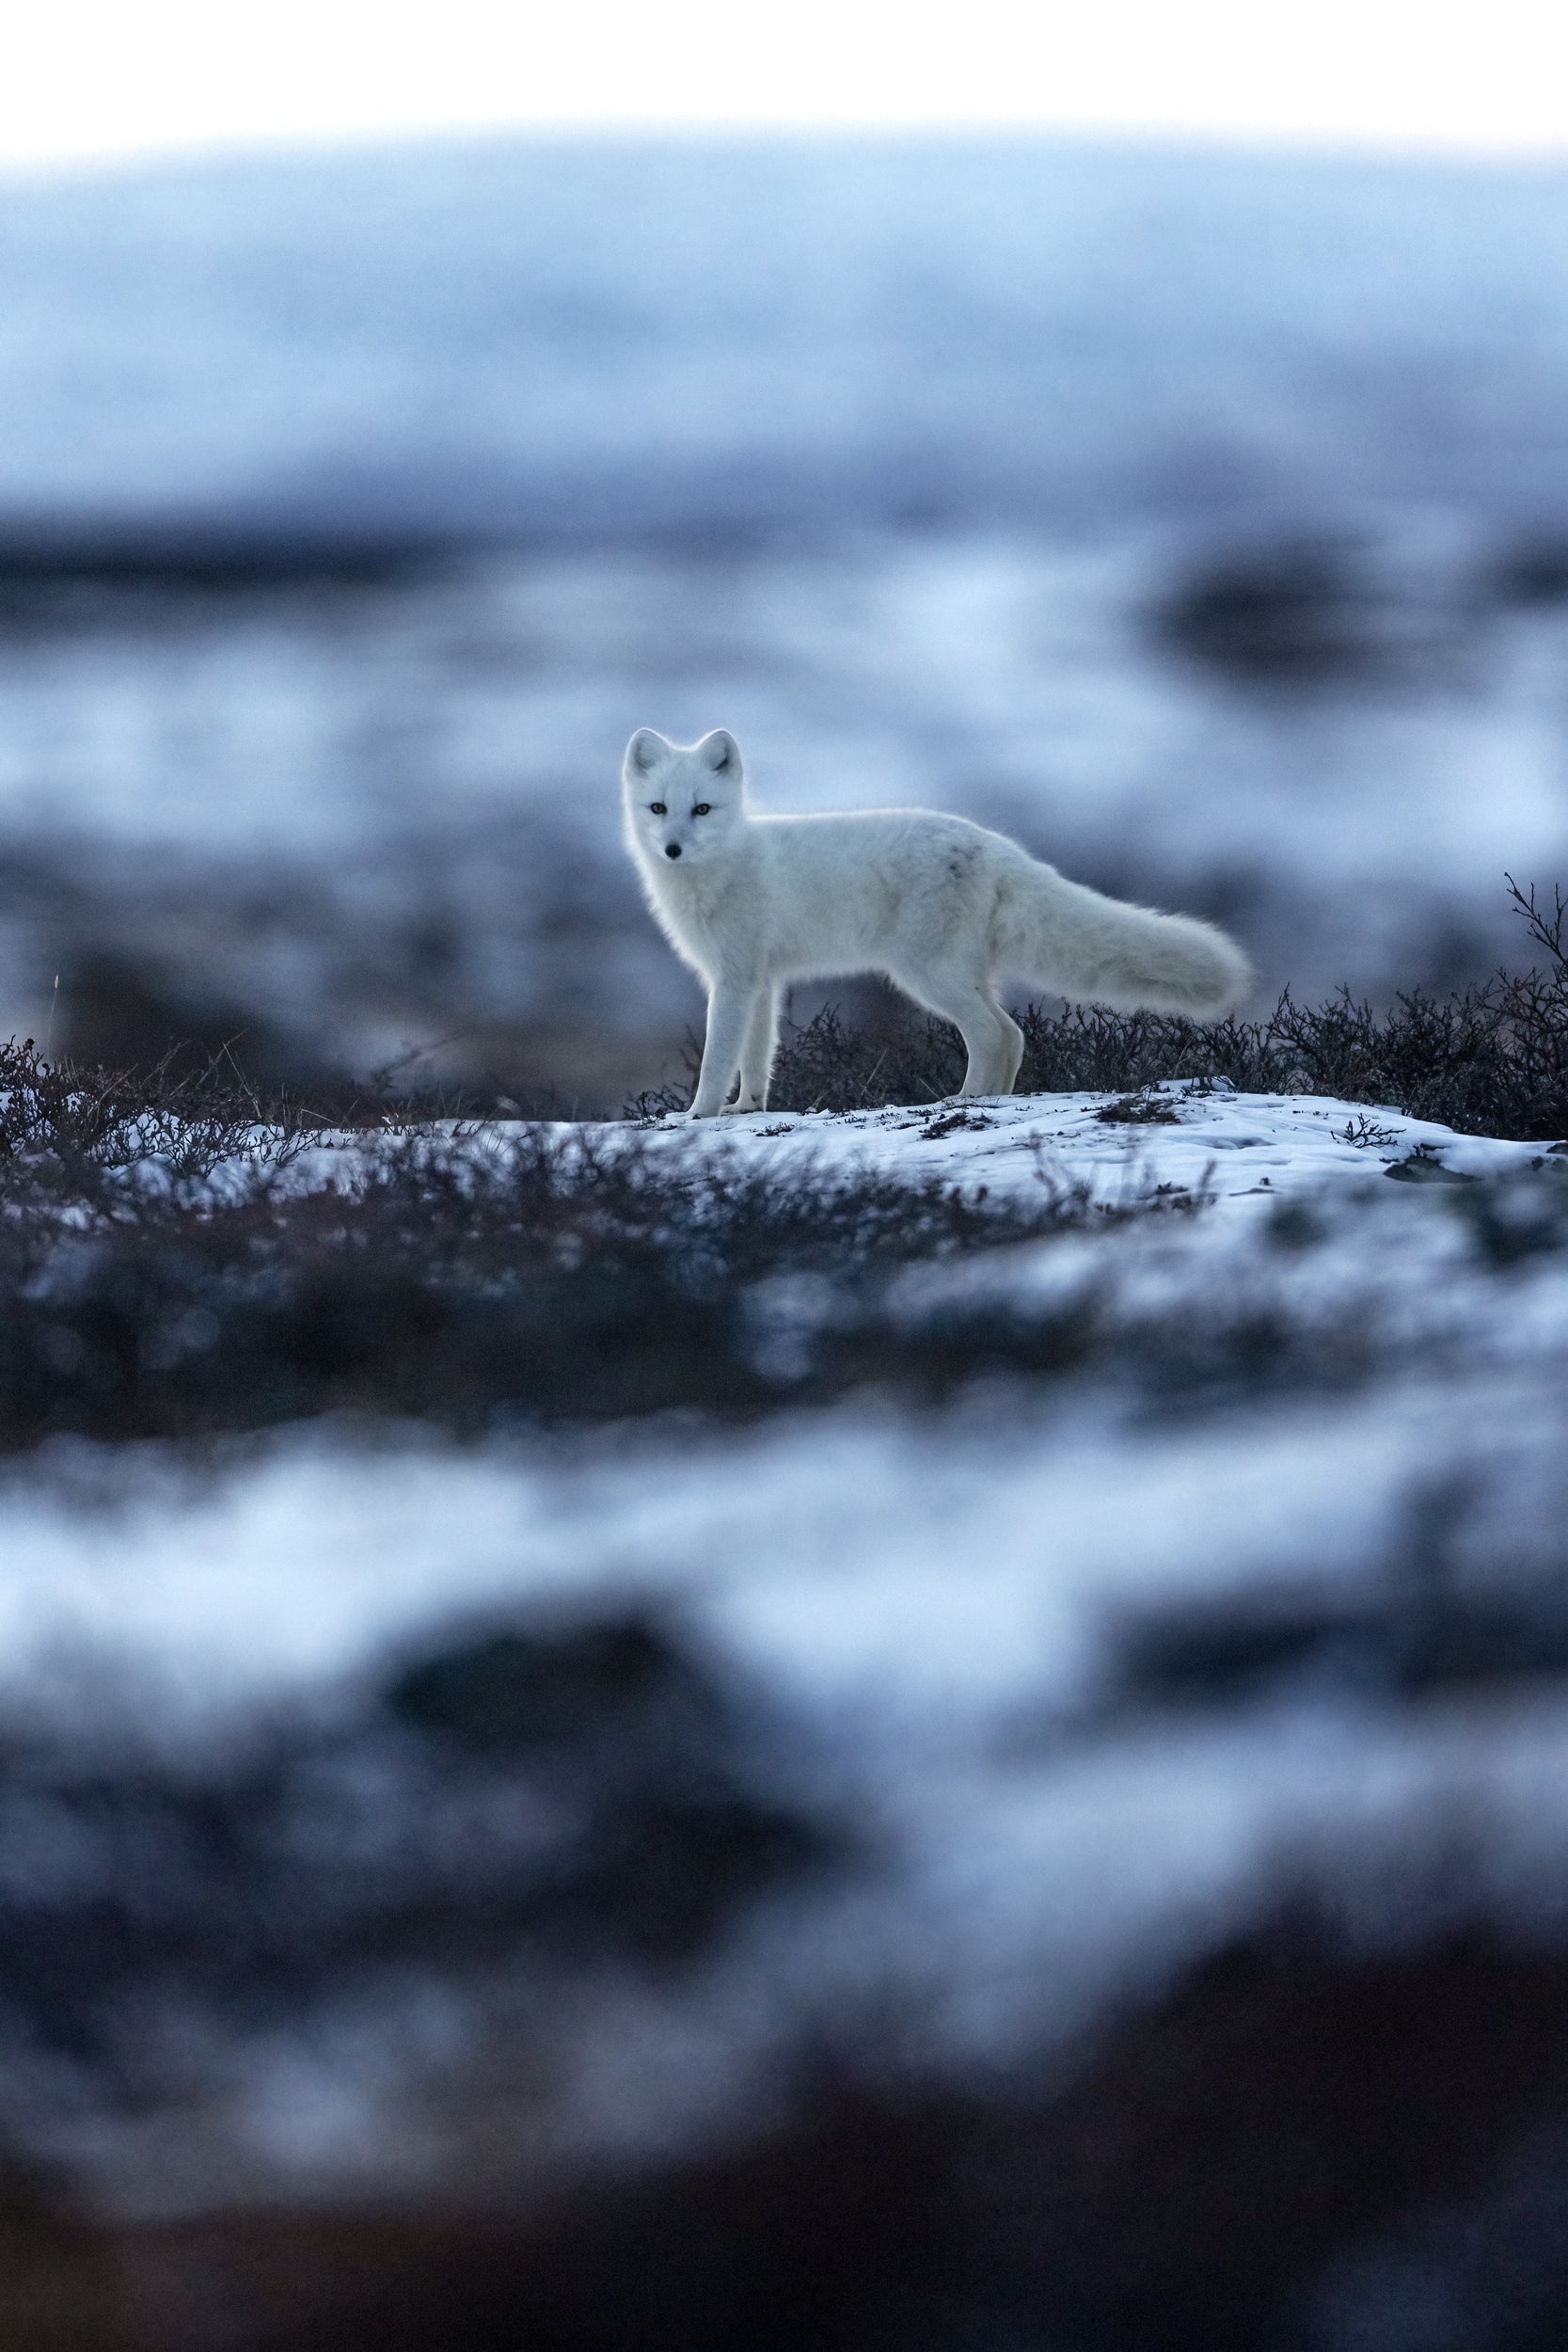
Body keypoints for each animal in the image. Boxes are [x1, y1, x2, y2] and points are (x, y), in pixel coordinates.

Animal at [623, 729, 1251, 1118]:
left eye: (702, 808)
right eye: (658, 808)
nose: (672, 849)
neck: (726, 865)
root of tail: (993, 845)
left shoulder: (732, 981)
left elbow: (717, 1056)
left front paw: (698, 1113)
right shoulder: (761, 980)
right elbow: (757, 1057)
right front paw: (746, 1108)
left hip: (926, 974)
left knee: (994, 1034)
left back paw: (961, 1102)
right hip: (961, 973)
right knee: (1014, 1035)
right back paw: (991, 1101)